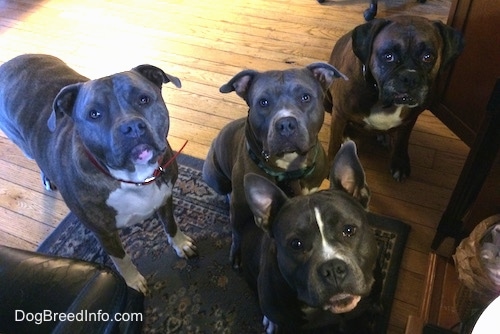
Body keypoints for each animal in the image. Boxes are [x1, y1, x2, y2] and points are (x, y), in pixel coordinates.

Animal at [0, 53, 197, 294]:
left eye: (143, 99)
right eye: (94, 114)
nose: (131, 127)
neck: (131, 178)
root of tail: (12, 61)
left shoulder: (165, 199)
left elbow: (171, 224)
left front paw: (181, 244)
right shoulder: (104, 234)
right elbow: (122, 259)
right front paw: (133, 282)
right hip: (22, 144)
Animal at [203, 62, 348, 268]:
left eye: (305, 97)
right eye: (263, 102)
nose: (286, 124)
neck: (288, 167)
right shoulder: (240, 207)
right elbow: (237, 232)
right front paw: (237, 254)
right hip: (215, 177)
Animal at [326, 15, 462, 180]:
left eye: (428, 57)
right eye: (388, 56)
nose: (410, 77)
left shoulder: (410, 120)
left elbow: (403, 140)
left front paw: (400, 162)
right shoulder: (340, 113)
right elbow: (334, 142)